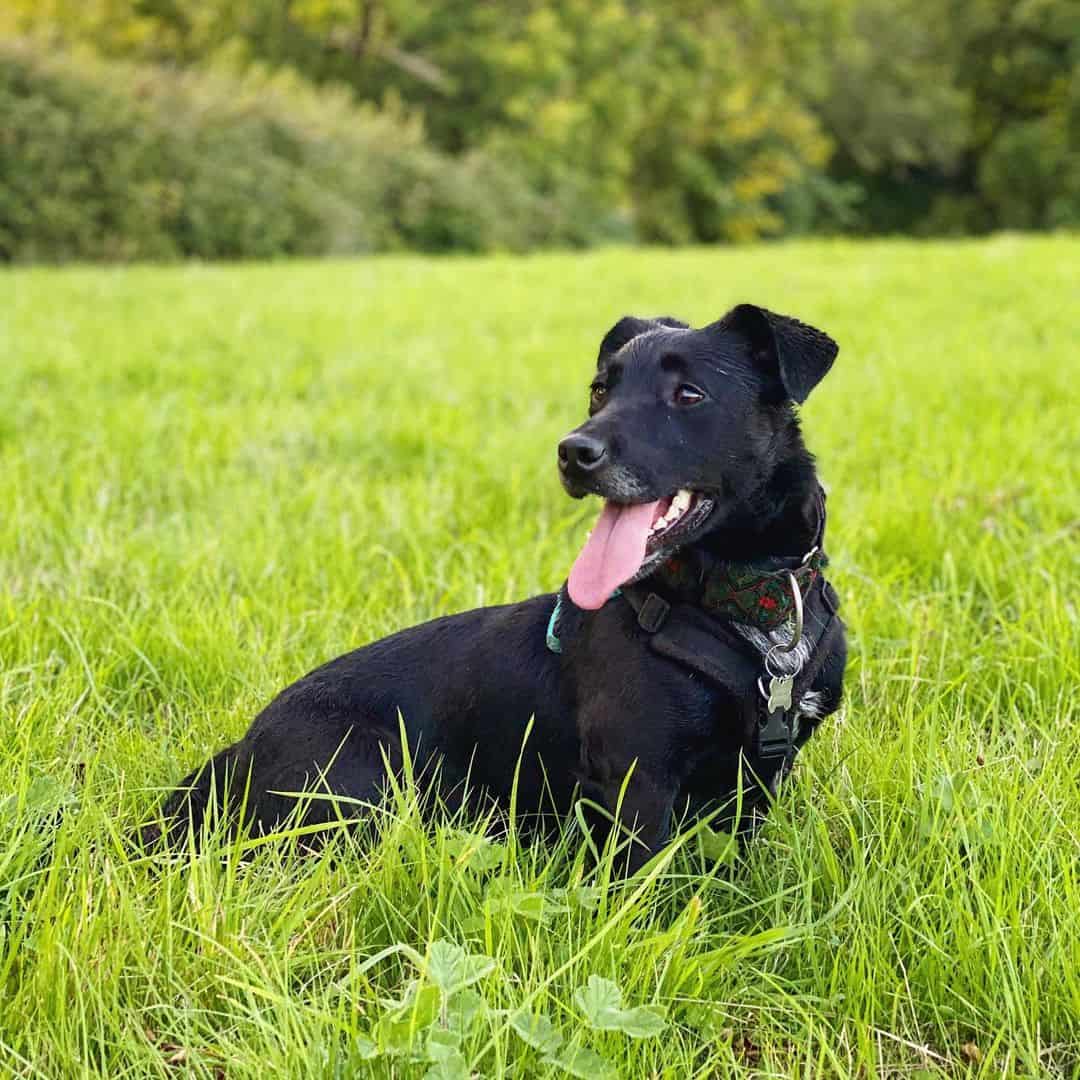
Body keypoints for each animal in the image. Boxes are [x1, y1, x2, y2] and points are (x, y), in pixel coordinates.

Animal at [150, 302, 842, 868]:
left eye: (690, 395)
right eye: (599, 390)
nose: (572, 452)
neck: (745, 609)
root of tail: (236, 753)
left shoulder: (755, 785)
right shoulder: (634, 782)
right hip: (365, 780)